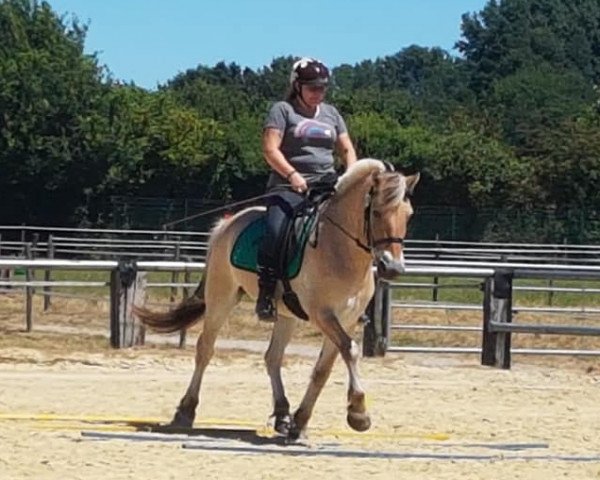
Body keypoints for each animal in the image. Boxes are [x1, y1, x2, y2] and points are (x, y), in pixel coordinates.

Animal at [134, 159, 420, 440]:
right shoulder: (323, 314)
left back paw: (283, 414)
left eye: (408, 215)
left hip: (285, 314)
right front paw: (359, 413)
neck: (339, 250)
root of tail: (228, 223)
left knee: (272, 356)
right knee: (205, 349)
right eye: (376, 213)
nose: (393, 268)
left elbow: (323, 369)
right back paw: (185, 411)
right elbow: (350, 350)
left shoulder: (346, 319)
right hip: (221, 298)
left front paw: (300, 422)